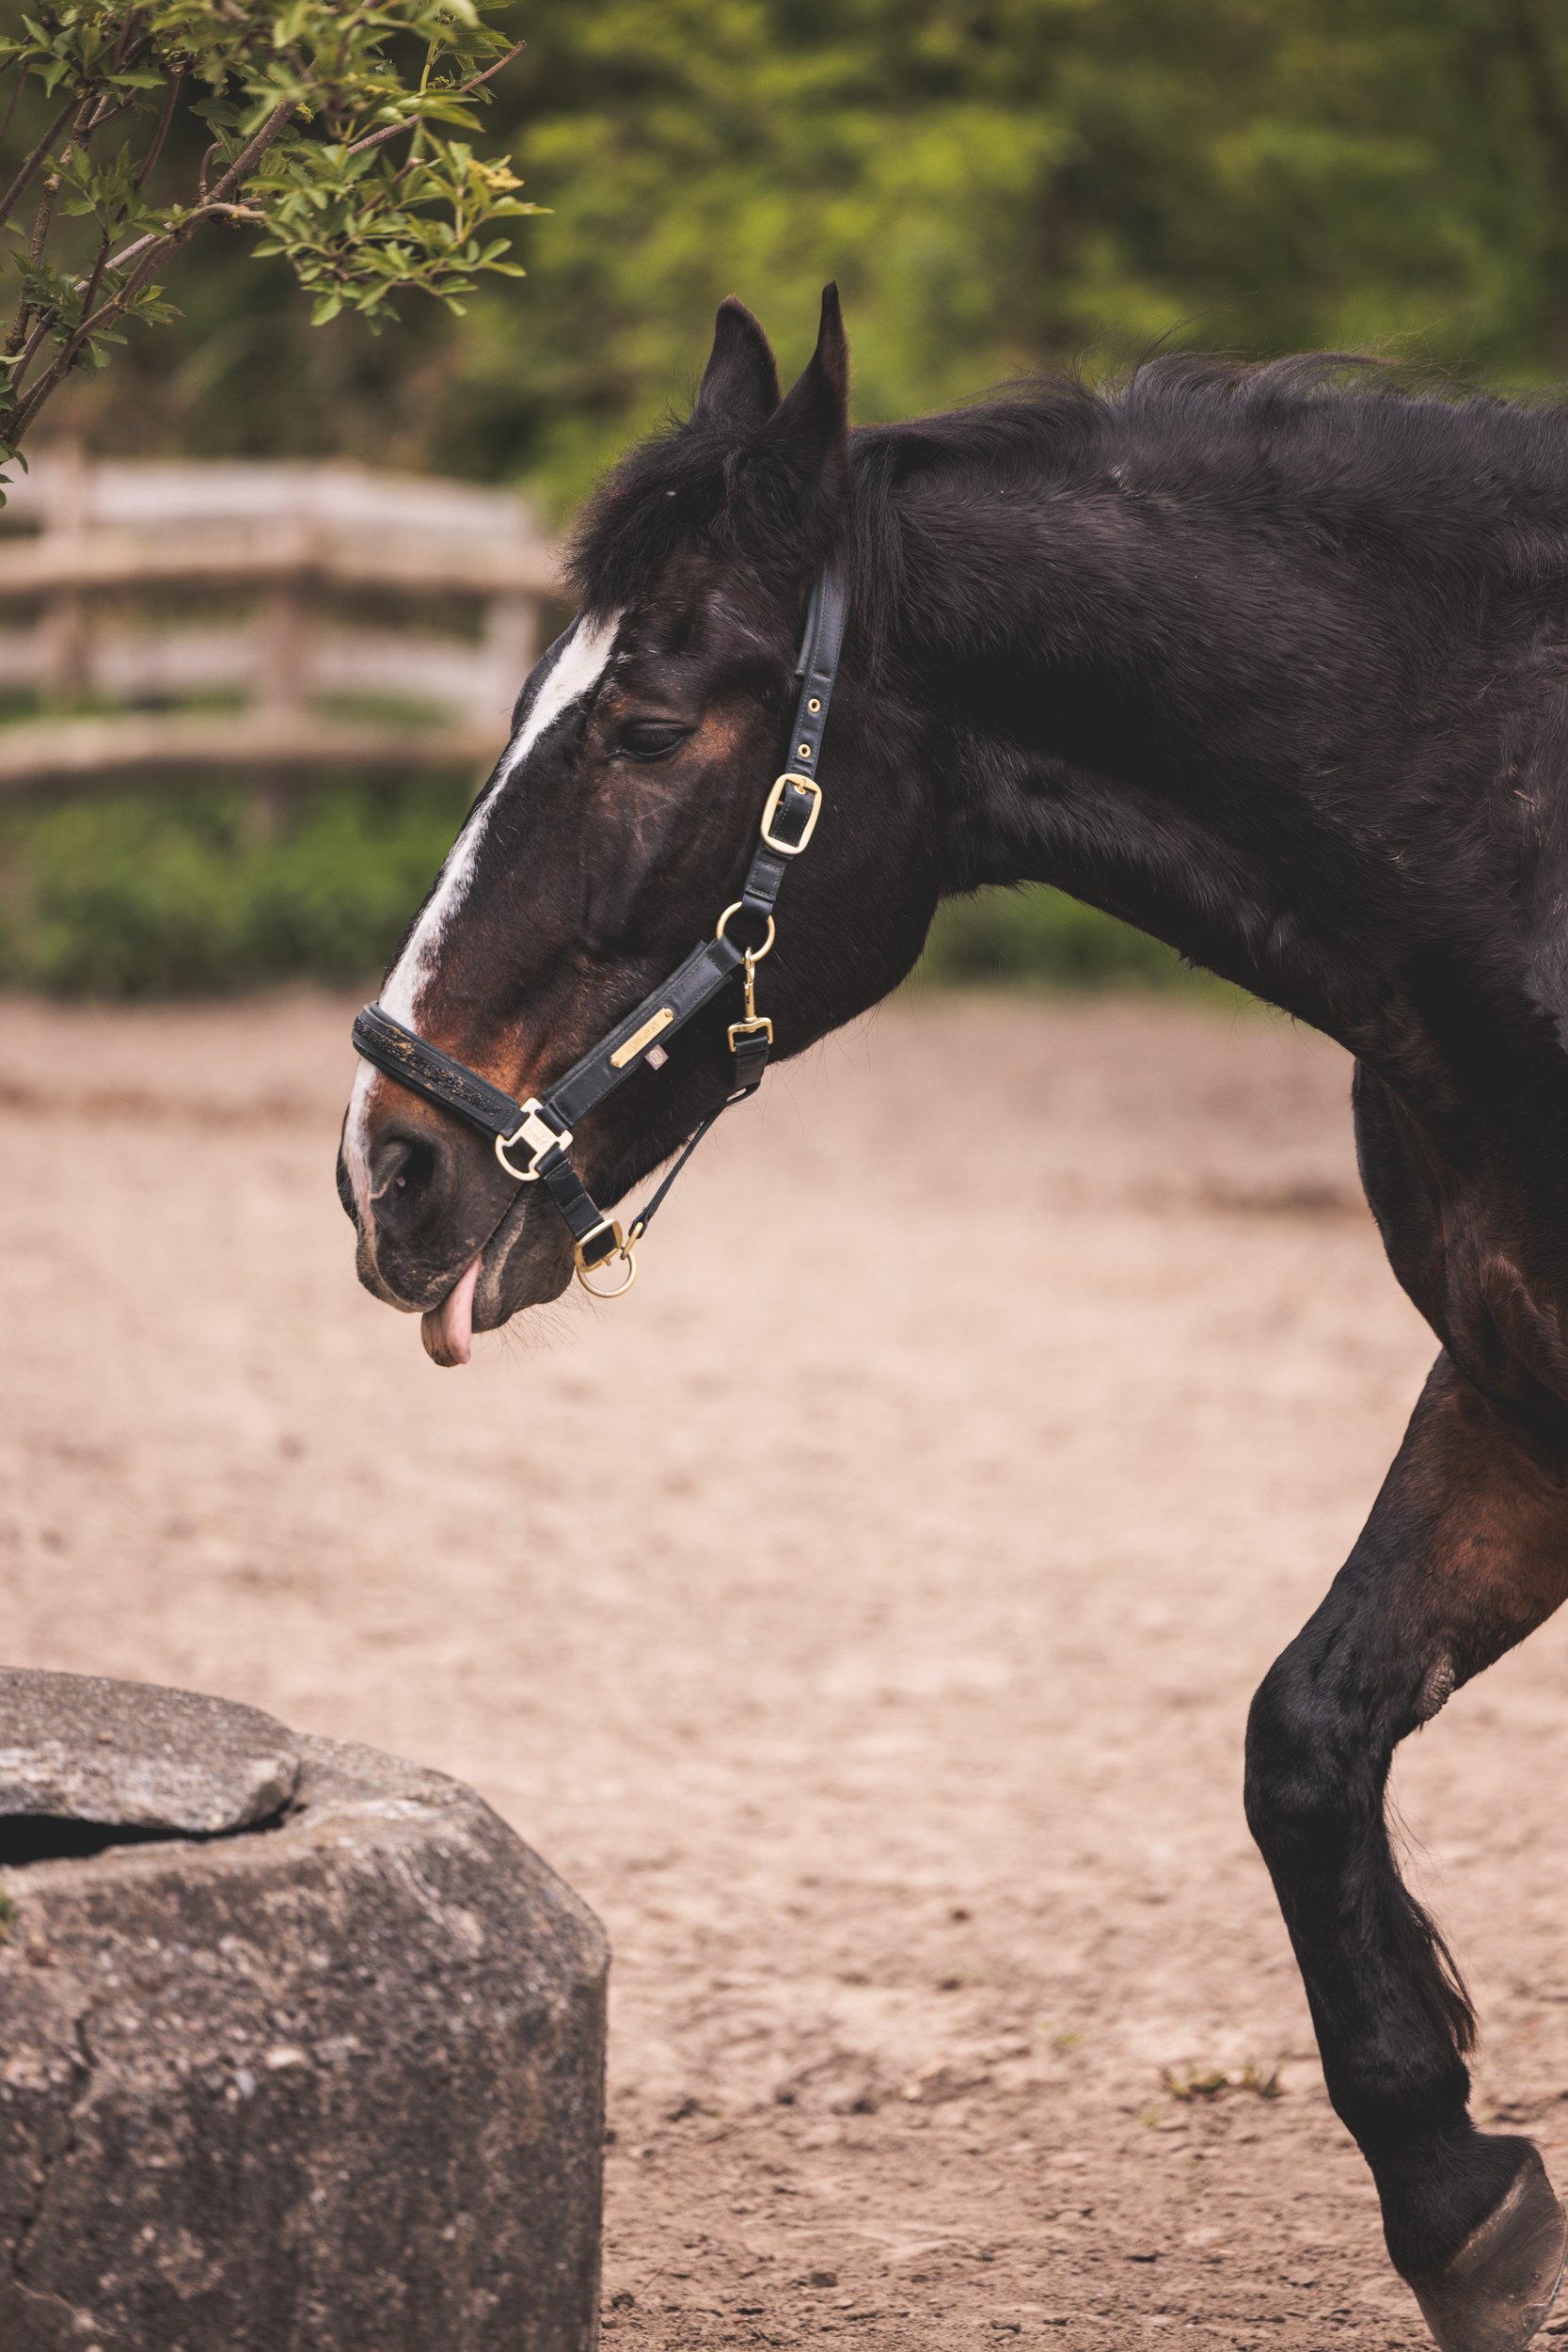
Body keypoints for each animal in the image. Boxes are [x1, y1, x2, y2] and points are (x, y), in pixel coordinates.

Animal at [338, 286, 1568, 2352]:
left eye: (647, 726)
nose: (388, 1171)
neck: (1521, 841)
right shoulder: (1510, 1386)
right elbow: (1303, 1736)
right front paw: (1457, 2196)